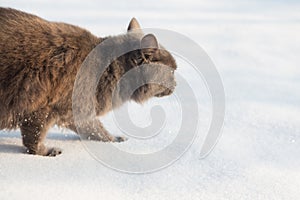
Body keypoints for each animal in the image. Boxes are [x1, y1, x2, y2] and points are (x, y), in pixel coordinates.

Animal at [0, 7, 177, 156]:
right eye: (172, 71)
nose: (176, 84)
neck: (109, 70)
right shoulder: (42, 108)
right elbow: (34, 137)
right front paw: (46, 152)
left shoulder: (77, 110)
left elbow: (95, 130)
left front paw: (115, 140)